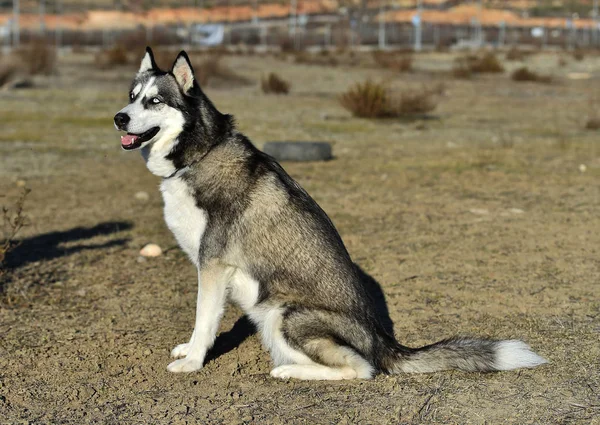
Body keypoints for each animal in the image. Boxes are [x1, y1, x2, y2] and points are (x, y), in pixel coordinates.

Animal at [113, 48, 548, 380]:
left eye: (155, 101)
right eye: (132, 95)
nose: (119, 117)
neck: (199, 154)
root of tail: (384, 342)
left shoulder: (214, 266)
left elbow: (204, 320)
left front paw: (192, 362)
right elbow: (201, 321)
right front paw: (187, 349)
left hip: (284, 315)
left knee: (362, 369)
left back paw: (288, 371)